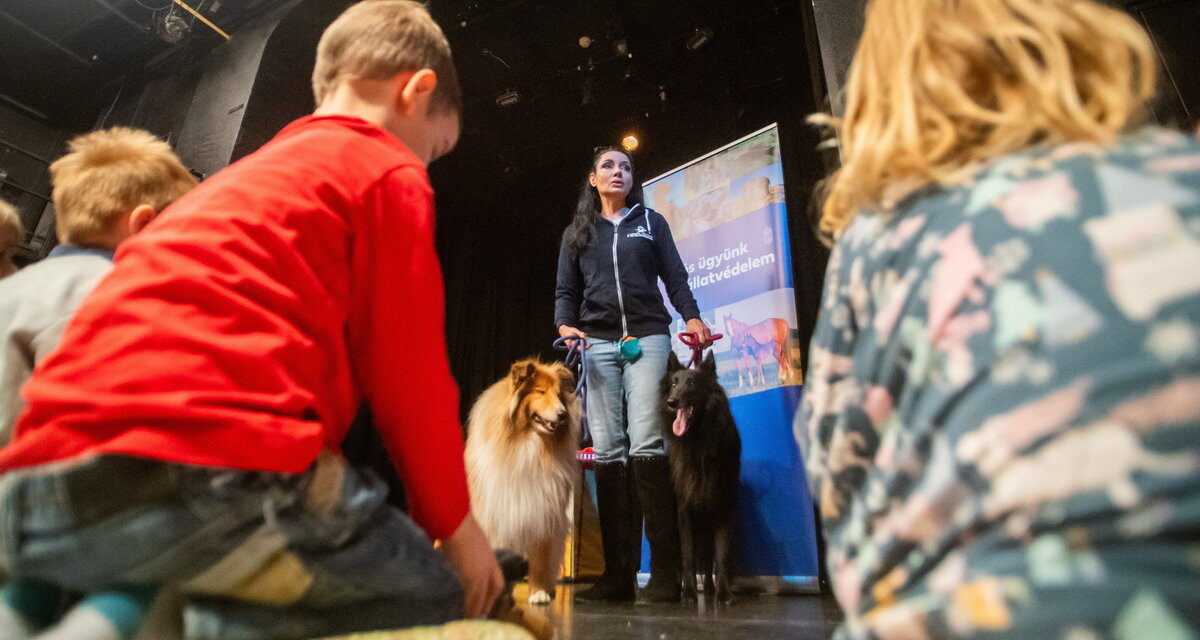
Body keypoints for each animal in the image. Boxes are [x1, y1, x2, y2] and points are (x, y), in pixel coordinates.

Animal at [465, 360, 578, 602]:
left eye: (558, 395)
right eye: (541, 392)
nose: (563, 414)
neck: (528, 441)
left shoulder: (545, 512)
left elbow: (541, 557)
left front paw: (539, 593)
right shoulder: (499, 512)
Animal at [657, 345, 739, 600]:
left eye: (692, 383)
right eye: (674, 383)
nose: (672, 402)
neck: (697, 441)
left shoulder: (721, 505)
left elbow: (722, 553)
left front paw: (723, 593)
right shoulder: (685, 509)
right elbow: (688, 555)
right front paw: (690, 592)